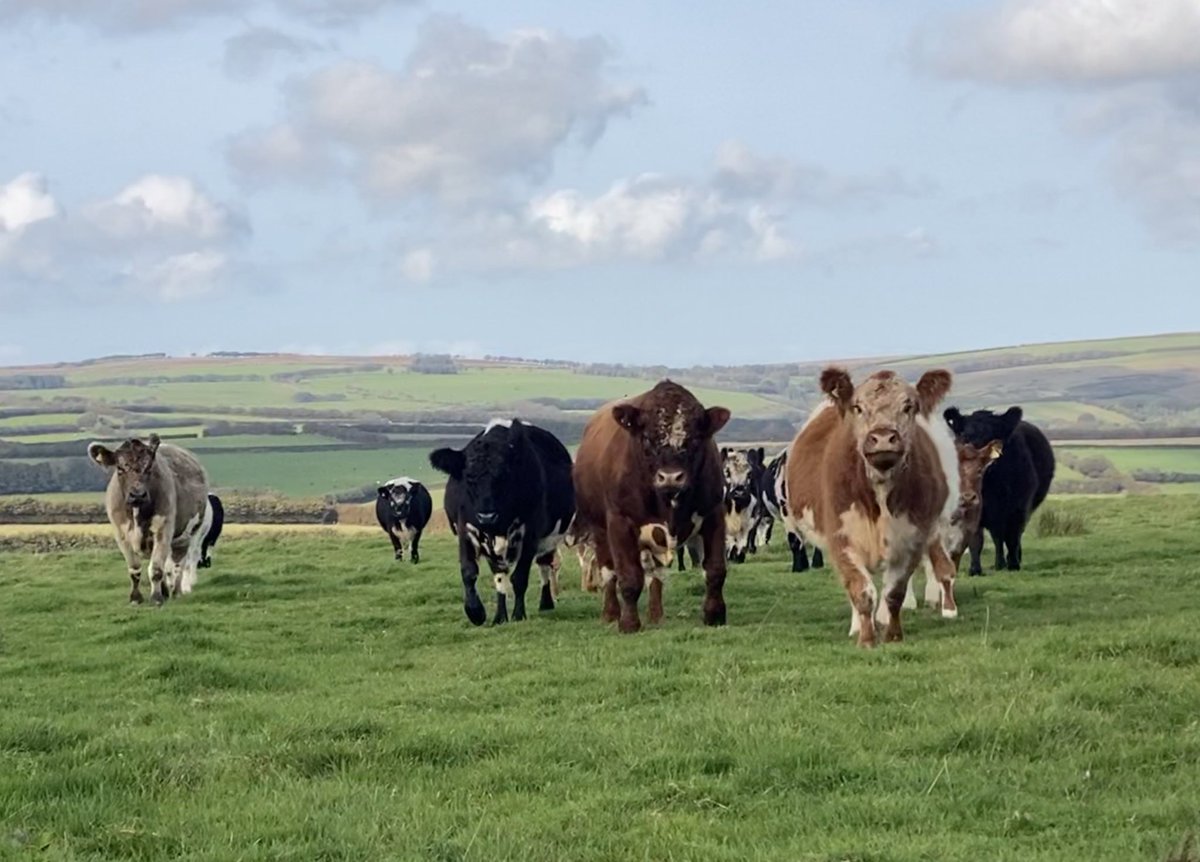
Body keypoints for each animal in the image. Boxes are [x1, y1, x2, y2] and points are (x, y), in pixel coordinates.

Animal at [87, 434, 212, 606]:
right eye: (120, 468)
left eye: (149, 468)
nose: (137, 494)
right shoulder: (121, 535)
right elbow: (134, 569)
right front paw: (136, 598)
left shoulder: (163, 530)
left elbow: (157, 569)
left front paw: (156, 598)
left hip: (187, 535)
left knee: (178, 565)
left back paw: (176, 592)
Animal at [430, 419, 574, 626]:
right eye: (469, 478)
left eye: (503, 476)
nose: (486, 516)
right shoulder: (465, 529)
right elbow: (470, 572)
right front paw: (477, 613)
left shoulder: (531, 534)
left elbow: (520, 577)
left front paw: (518, 615)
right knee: (502, 576)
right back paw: (500, 615)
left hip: (550, 539)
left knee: (545, 565)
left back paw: (546, 603)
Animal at [572, 380, 731, 633]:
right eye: (647, 438)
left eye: (695, 439)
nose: (670, 477)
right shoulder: (620, 523)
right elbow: (629, 576)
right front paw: (628, 623)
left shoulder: (713, 514)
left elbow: (715, 569)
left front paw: (714, 615)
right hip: (600, 530)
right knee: (608, 572)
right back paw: (611, 613)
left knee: (655, 575)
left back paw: (656, 615)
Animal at [786, 367, 957, 646]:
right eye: (857, 407)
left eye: (909, 406)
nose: (883, 438)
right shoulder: (842, 539)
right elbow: (861, 591)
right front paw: (866, 638)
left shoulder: (911, 538)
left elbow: (894, 592)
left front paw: (893, 634)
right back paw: (858, 626)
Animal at [943, 406, 1055, 575]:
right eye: (966, 436)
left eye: (993, 438)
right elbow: (976, 540)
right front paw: (975, 569)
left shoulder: (1018, 508)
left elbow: (1011, 538)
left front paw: (1012, 564)